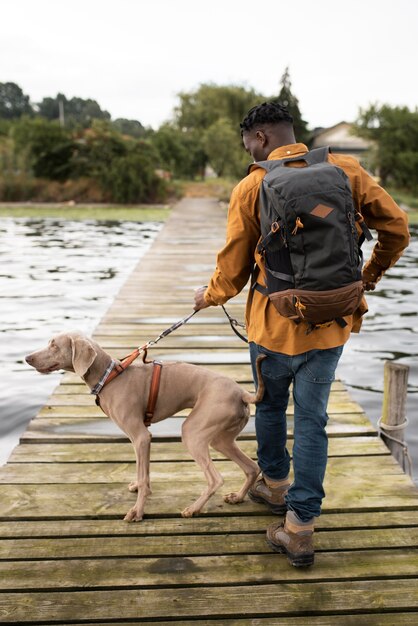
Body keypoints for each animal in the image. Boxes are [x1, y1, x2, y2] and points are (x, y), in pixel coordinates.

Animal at [25, 334, 264, 520]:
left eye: (54, 345)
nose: (27, 358)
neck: (109, 377)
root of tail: (242, 393)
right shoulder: (140, 439)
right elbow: (143, 473)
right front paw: (139, 490)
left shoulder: (140, 436)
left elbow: (142, 474)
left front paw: (137, 512)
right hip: (221, 438)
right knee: (252, 467)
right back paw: (237, 497)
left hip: (193, 432)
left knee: (216, 479)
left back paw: (193, 509)